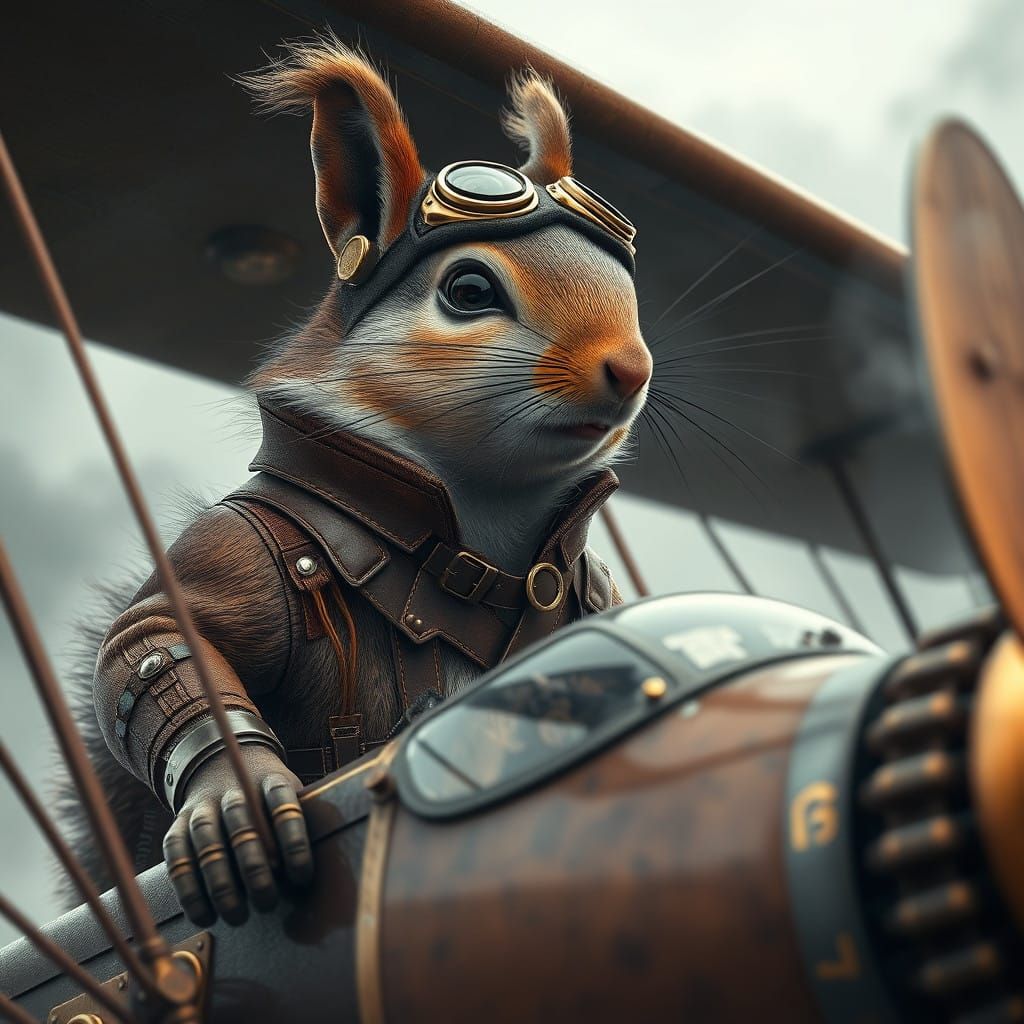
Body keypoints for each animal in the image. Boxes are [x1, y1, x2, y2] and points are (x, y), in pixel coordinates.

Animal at [62, 33, 652, 926]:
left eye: (628, 289)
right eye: (468, 289)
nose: (631, 368)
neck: (478, 532)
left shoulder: (594, 588)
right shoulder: (248, 542)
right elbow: (159, 637)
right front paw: (234, 800)